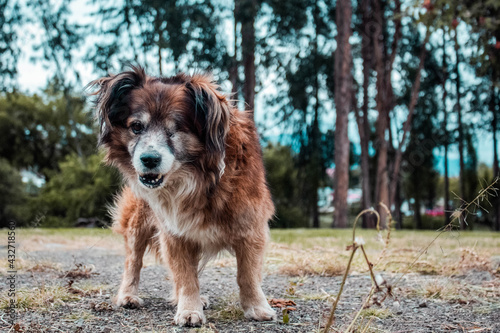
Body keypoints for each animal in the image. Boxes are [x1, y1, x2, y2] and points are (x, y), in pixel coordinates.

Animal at [90, 66, 278, 326]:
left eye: (176, 128)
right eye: (136, 126)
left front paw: (257, 307)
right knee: (133, 261)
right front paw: (189, 309)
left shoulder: (250, 227)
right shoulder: (174, 230)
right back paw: (128, 296)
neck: (198, 178)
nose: (149, 159)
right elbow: (186, 276)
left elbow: (247, 274)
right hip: (139, 221)